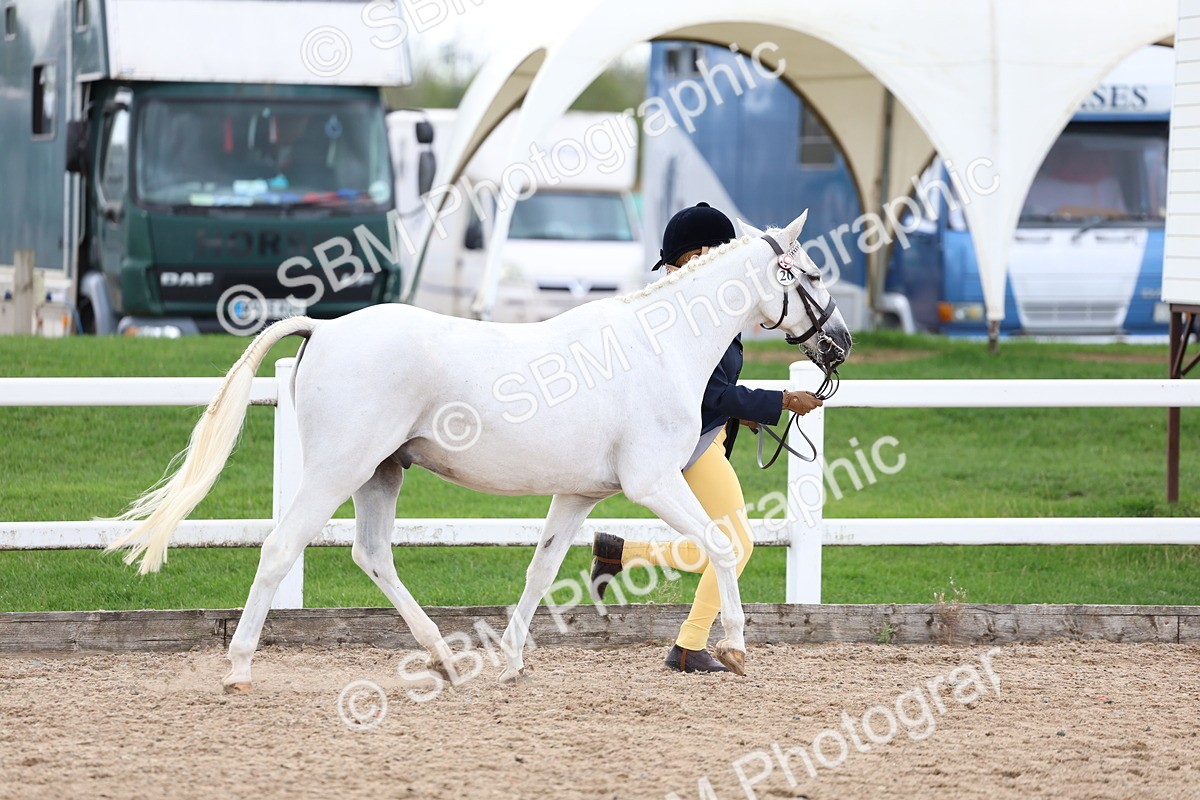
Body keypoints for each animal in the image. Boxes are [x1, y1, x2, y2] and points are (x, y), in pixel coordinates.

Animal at [107, 212, 852, 692]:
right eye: (814, 273)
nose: (839, 344)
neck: (658, 344)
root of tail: (324, 330)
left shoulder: (578, 494)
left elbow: (540, 571)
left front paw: (513, 661)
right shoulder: (654, 482)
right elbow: (721, 545)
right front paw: (736, 649)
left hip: (381, 474)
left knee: (372, 556)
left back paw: (444, 659)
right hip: (338, 470)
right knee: (281, 548)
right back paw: (238, 668)